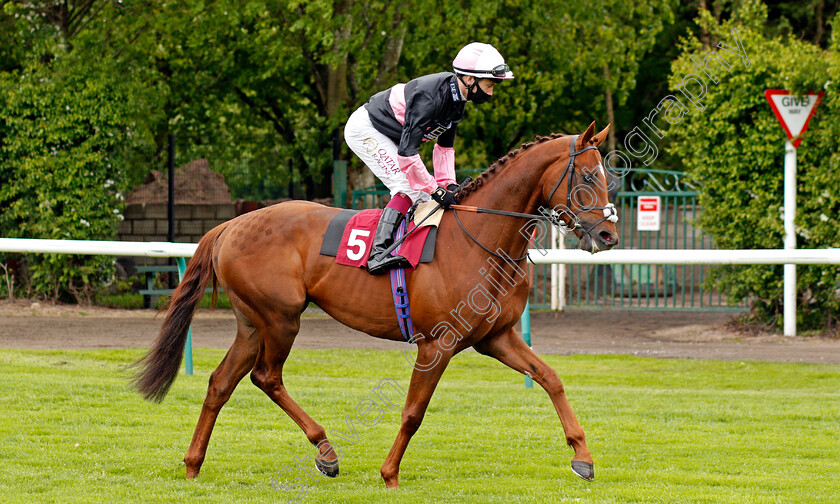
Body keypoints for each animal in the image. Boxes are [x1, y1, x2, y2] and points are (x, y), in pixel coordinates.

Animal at [131, 121, 616, 488]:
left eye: (606, 176)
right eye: (587, 177)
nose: (608, 234)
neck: (481, 240)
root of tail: (230, 225)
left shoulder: (497, 337)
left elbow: (551, 379)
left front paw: (583, 457)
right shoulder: (438, 343)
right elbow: (414, 411)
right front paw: (390, 474)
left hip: (252, 323)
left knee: (220, 382)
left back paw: (194, 464)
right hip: (280, 318)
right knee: (266, 377)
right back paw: (325, 451)